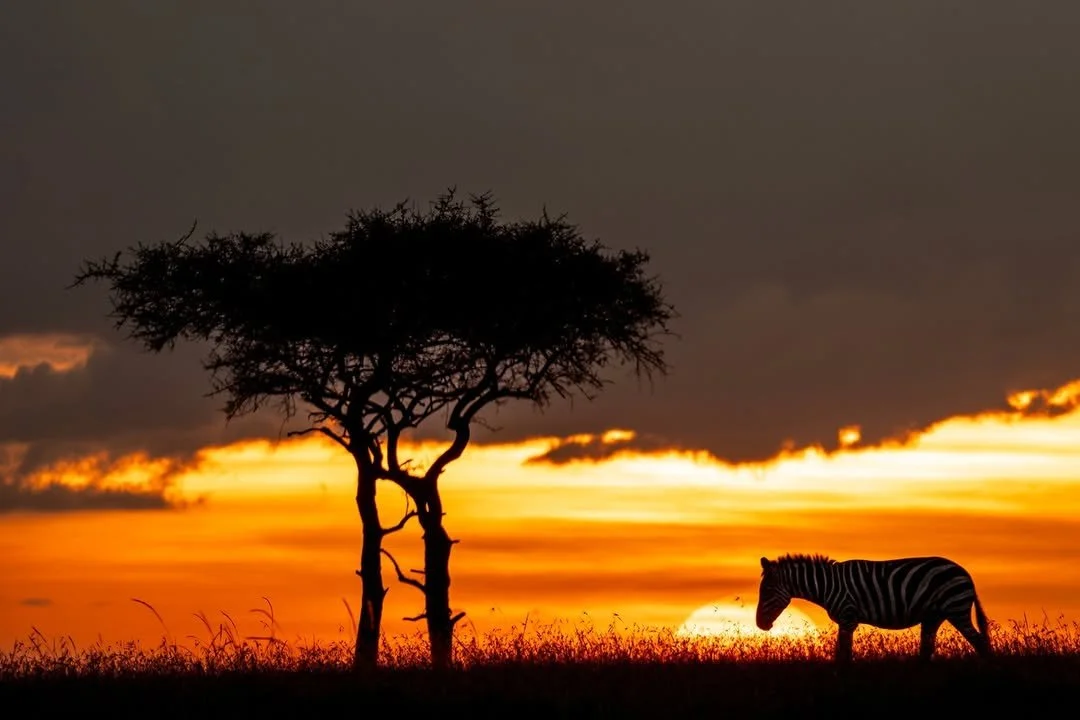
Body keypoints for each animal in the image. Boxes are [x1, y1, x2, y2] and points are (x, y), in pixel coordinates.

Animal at [756, 553, 992, 663]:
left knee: (980, 642)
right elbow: (841, 653)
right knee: (927, 651)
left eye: (766, 591)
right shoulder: (846, 621)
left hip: (956, 609)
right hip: (933, 617)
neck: (828, 585)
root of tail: (965, 573)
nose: (759, 624)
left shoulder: (848, 618)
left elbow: (844, 654)